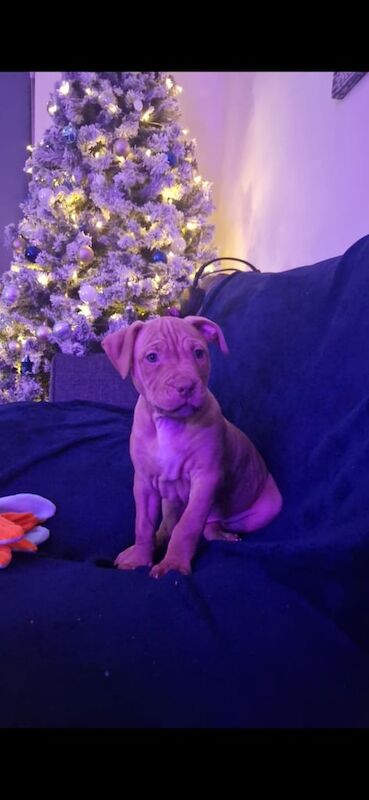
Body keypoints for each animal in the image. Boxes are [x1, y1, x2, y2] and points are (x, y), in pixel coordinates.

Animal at [102, 316, 280, 580]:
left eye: (198, 353)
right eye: (152, 357)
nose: (185, 386)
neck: (169, 423)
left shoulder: (205, 479)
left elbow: (188, 526)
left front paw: (174, 564)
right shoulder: (143, 482)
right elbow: (143, 524)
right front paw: (139, 557)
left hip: (265, 509)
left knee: (207, 527)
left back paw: (224, 535)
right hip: (168, 499)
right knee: (169, 524)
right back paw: (157, 539)